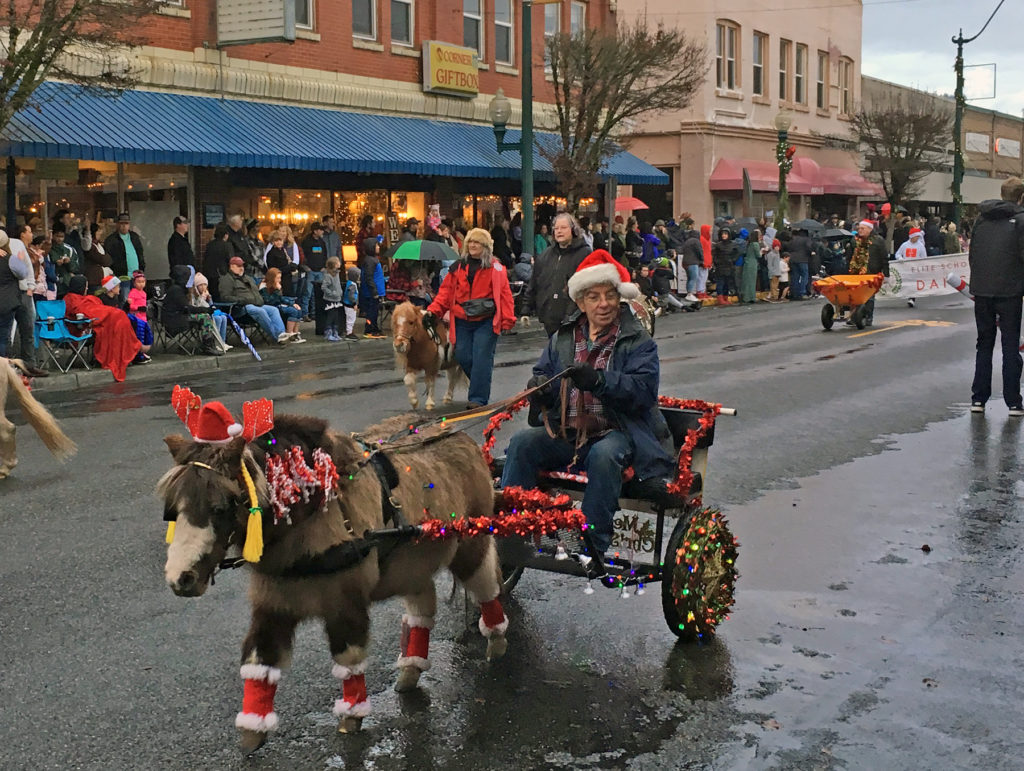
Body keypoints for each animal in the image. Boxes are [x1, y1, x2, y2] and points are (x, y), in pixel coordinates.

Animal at [159, 384, 507, 753]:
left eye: (221, 505)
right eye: (173, 508)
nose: (181, 579)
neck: (311, 510)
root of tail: (459, 435)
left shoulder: (344, 601)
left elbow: (348, 658)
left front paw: (351, 717)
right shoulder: (274, 603)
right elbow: (259, 660)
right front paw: (252, 732)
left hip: (469, 544)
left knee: (485, 585)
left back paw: (496, 640)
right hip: (413, 559)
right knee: (422, 606)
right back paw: (411, 670)